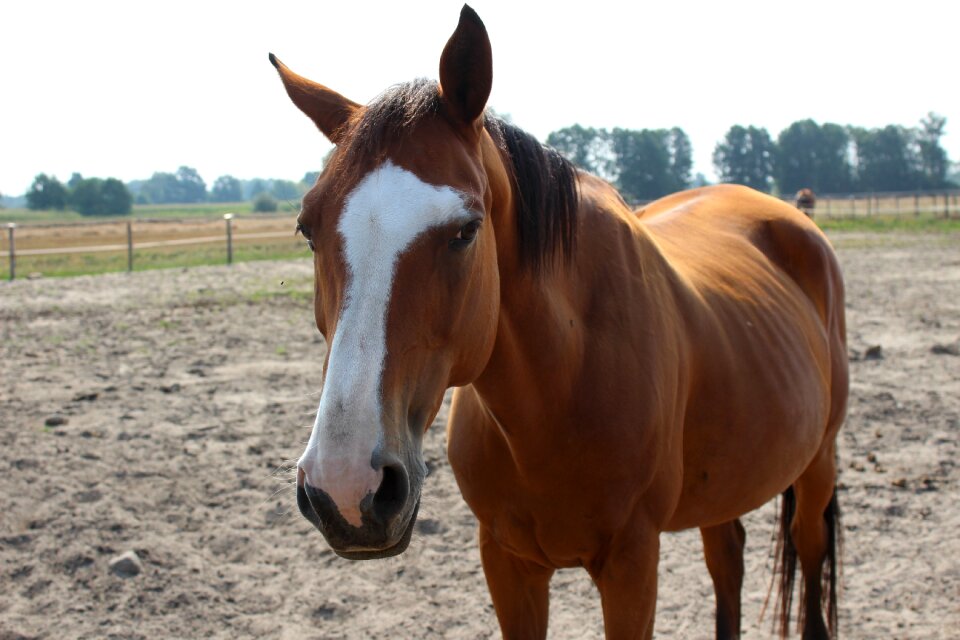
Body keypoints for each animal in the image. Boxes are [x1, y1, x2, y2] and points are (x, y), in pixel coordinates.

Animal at [272, 6, 848, 640]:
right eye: (307, 228)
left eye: (466, 230)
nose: (346, 487)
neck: (564, 380)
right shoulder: (506, 562)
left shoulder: (631, 564)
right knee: (727, 557)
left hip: (818, 462)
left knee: (809, 551)